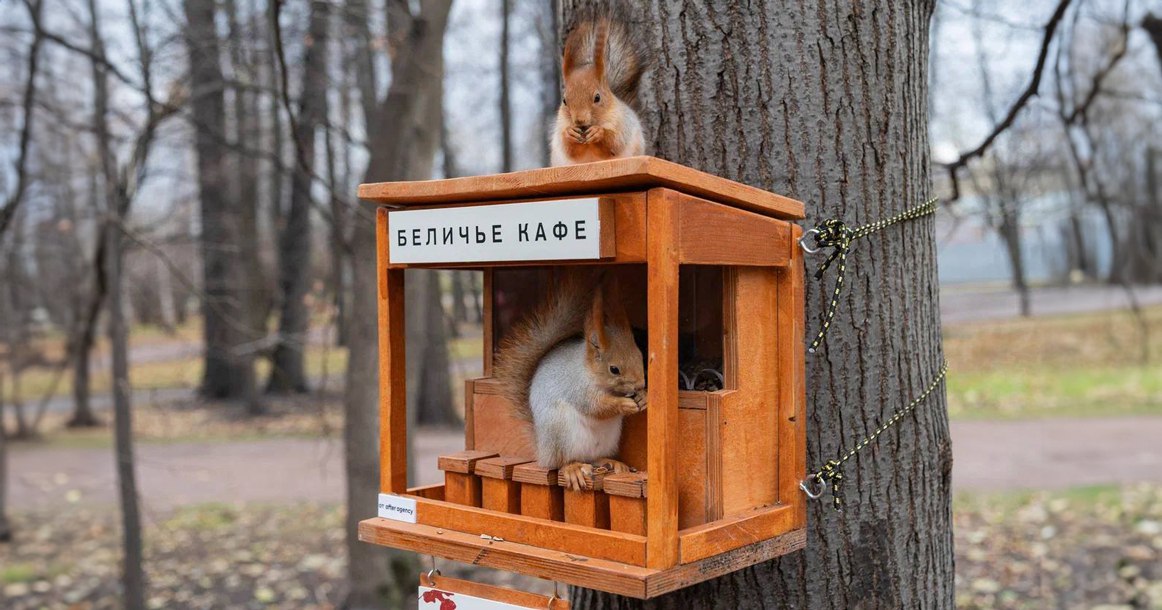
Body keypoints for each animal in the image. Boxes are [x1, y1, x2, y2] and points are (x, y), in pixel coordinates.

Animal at [492, 270, 650, 490]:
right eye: (614, 369)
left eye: (640, 355)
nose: (640, 384)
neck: (589, 371)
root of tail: (543, 451)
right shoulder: (577, 388)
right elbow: (596, 406)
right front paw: (623, 404)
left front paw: (643, 397)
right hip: (560, 431)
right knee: (562, 462)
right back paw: (573, 468)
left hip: (607, 439)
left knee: (593, 458)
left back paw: (611, 462)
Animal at [548, 9, 650, 166]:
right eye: (564, 100)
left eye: (597, 98)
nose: (579, 121)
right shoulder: (561, 125)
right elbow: (569, 149)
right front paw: (570, 133)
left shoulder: (623, 124)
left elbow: (614, 143)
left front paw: (598, 132)